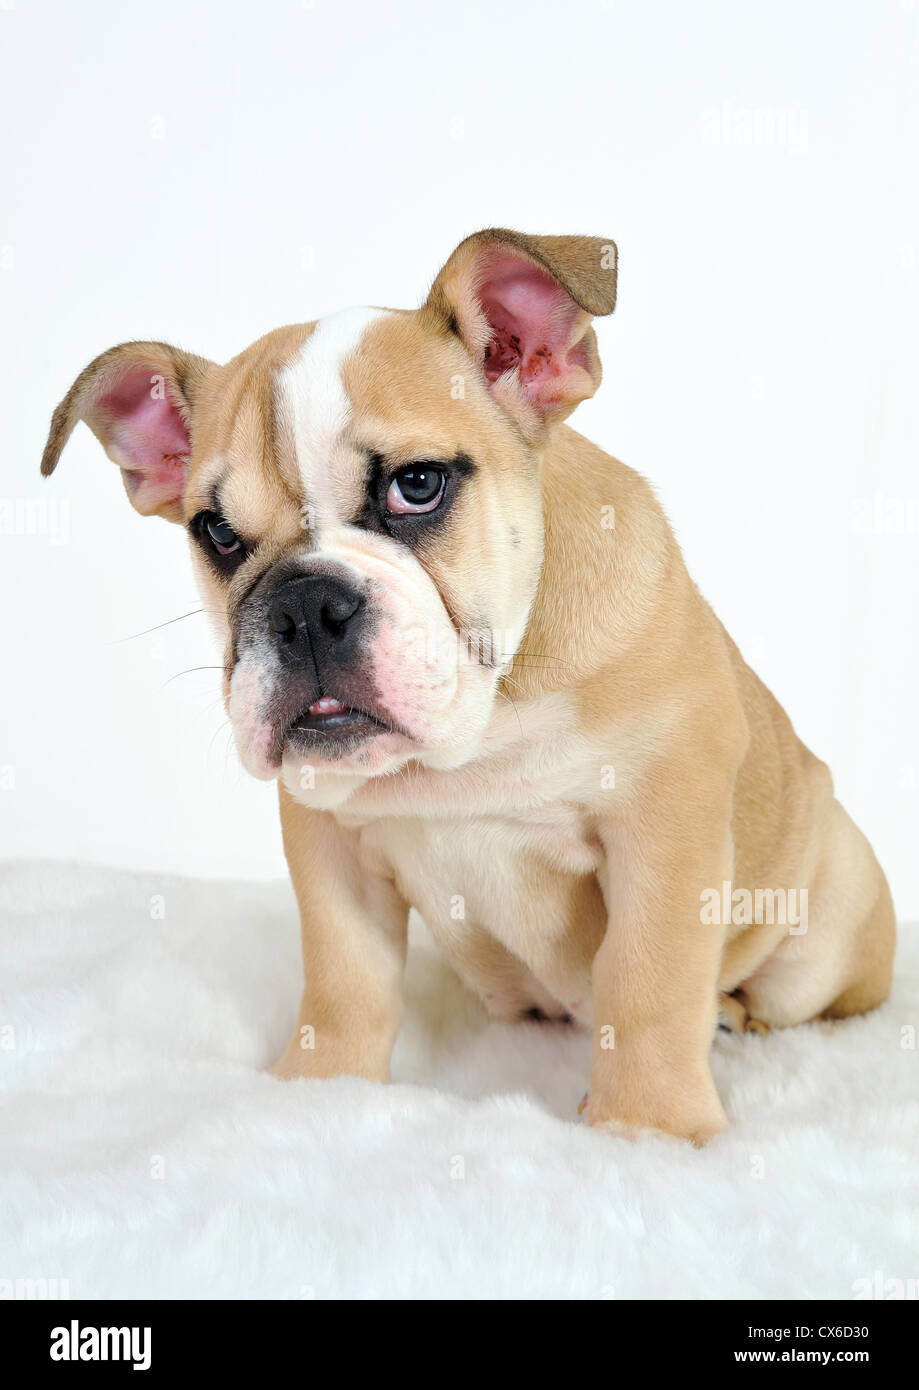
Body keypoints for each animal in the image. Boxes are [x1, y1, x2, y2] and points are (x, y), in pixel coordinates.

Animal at [39, 227, 889, 1139]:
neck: (480, 724)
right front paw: (319, 1088)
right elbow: (342, 977)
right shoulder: (327, 843)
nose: (302, 604)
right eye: (217, 533)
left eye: (417, 485)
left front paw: (647, 1129)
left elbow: (649, 980)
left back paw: (733, 1015)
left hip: (819, 934)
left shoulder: (663, 823)